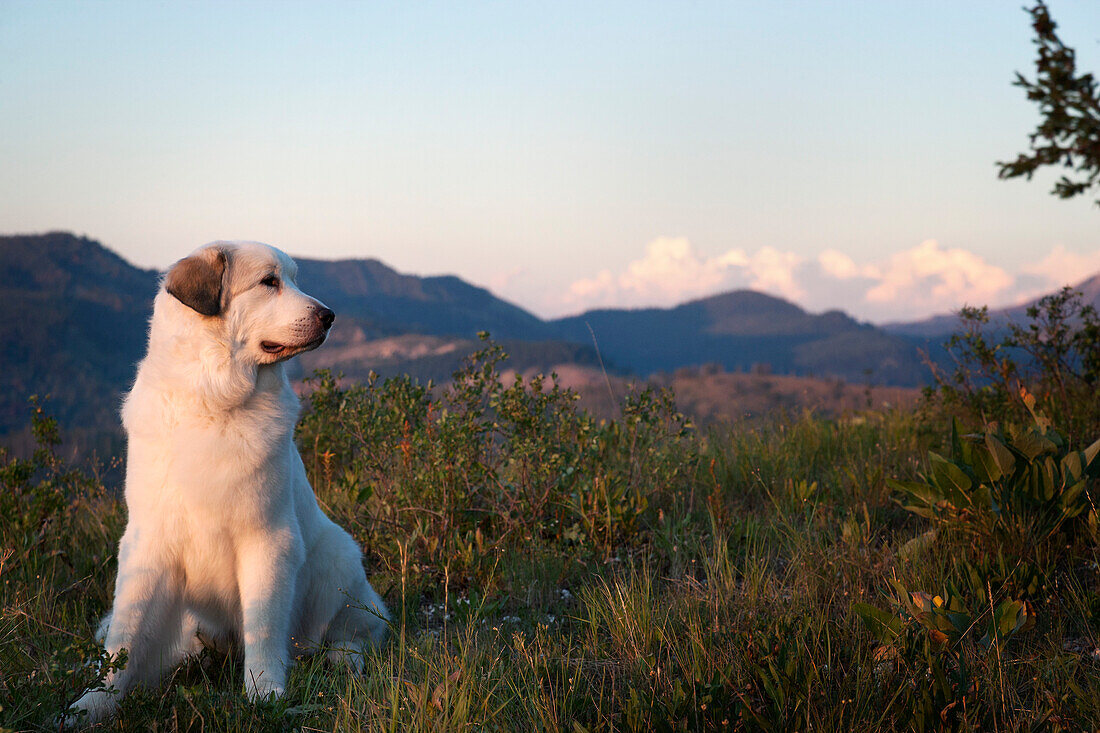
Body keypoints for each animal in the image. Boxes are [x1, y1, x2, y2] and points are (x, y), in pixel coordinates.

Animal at [65, 242, 391, 721]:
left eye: (294, 279)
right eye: (269, 282)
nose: (330, 316)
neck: (213, 398)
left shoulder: (267, 539)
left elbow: (264, 625)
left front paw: (265, 692)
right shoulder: (147, 542)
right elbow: (123, 636)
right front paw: (93, 704)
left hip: (339, 559)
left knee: (356, 632)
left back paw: (342, 658)